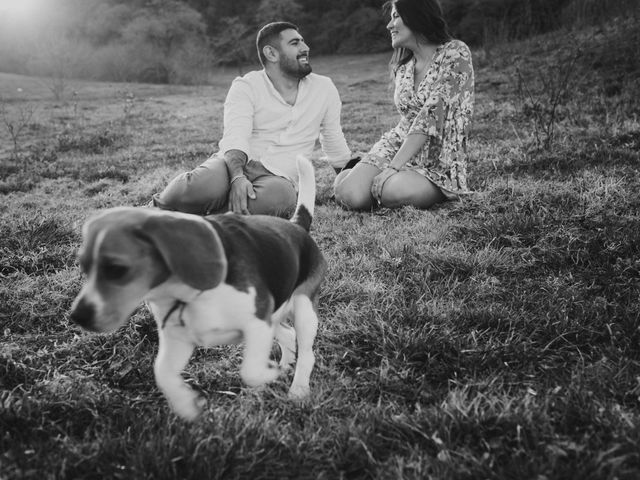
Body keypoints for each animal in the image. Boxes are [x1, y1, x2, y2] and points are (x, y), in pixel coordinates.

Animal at [70, 158, 324, 420]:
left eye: (117, 269)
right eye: (83, 266)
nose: (78, 316)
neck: (187, 295)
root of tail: (297, 226)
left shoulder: (256, 324)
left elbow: (251, 371)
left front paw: (270, 373)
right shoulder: (179, 339)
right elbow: (162, 372)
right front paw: (186, 404)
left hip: (303, 310)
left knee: (307, 353)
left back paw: (298, 389)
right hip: (274, 315)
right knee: (288, 335)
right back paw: (285, 365)